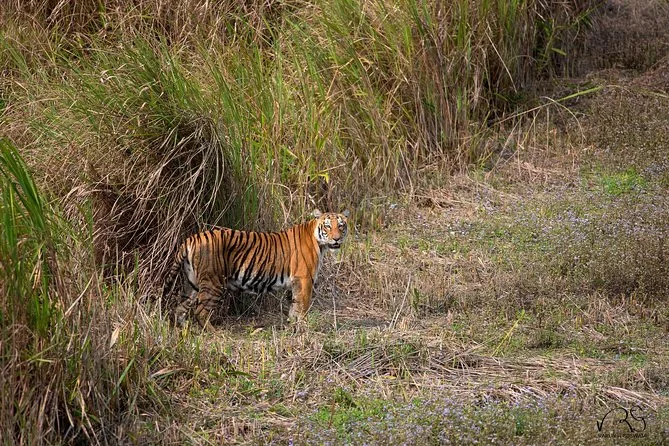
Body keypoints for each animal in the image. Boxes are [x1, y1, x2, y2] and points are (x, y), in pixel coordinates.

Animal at [163, 209, 349, 327]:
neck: (320, 242)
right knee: (200, 312)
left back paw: (183, 331)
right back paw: (214, 333)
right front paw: (303, 328)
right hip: (212, 283)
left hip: (192, 283)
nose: (337, 239)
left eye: (341, 225)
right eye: (328, 226)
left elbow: (294, 307)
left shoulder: (296, 282)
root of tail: (191, 239)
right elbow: (302, 306)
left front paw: (293, 326)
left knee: (180, 308)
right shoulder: (304, 279)